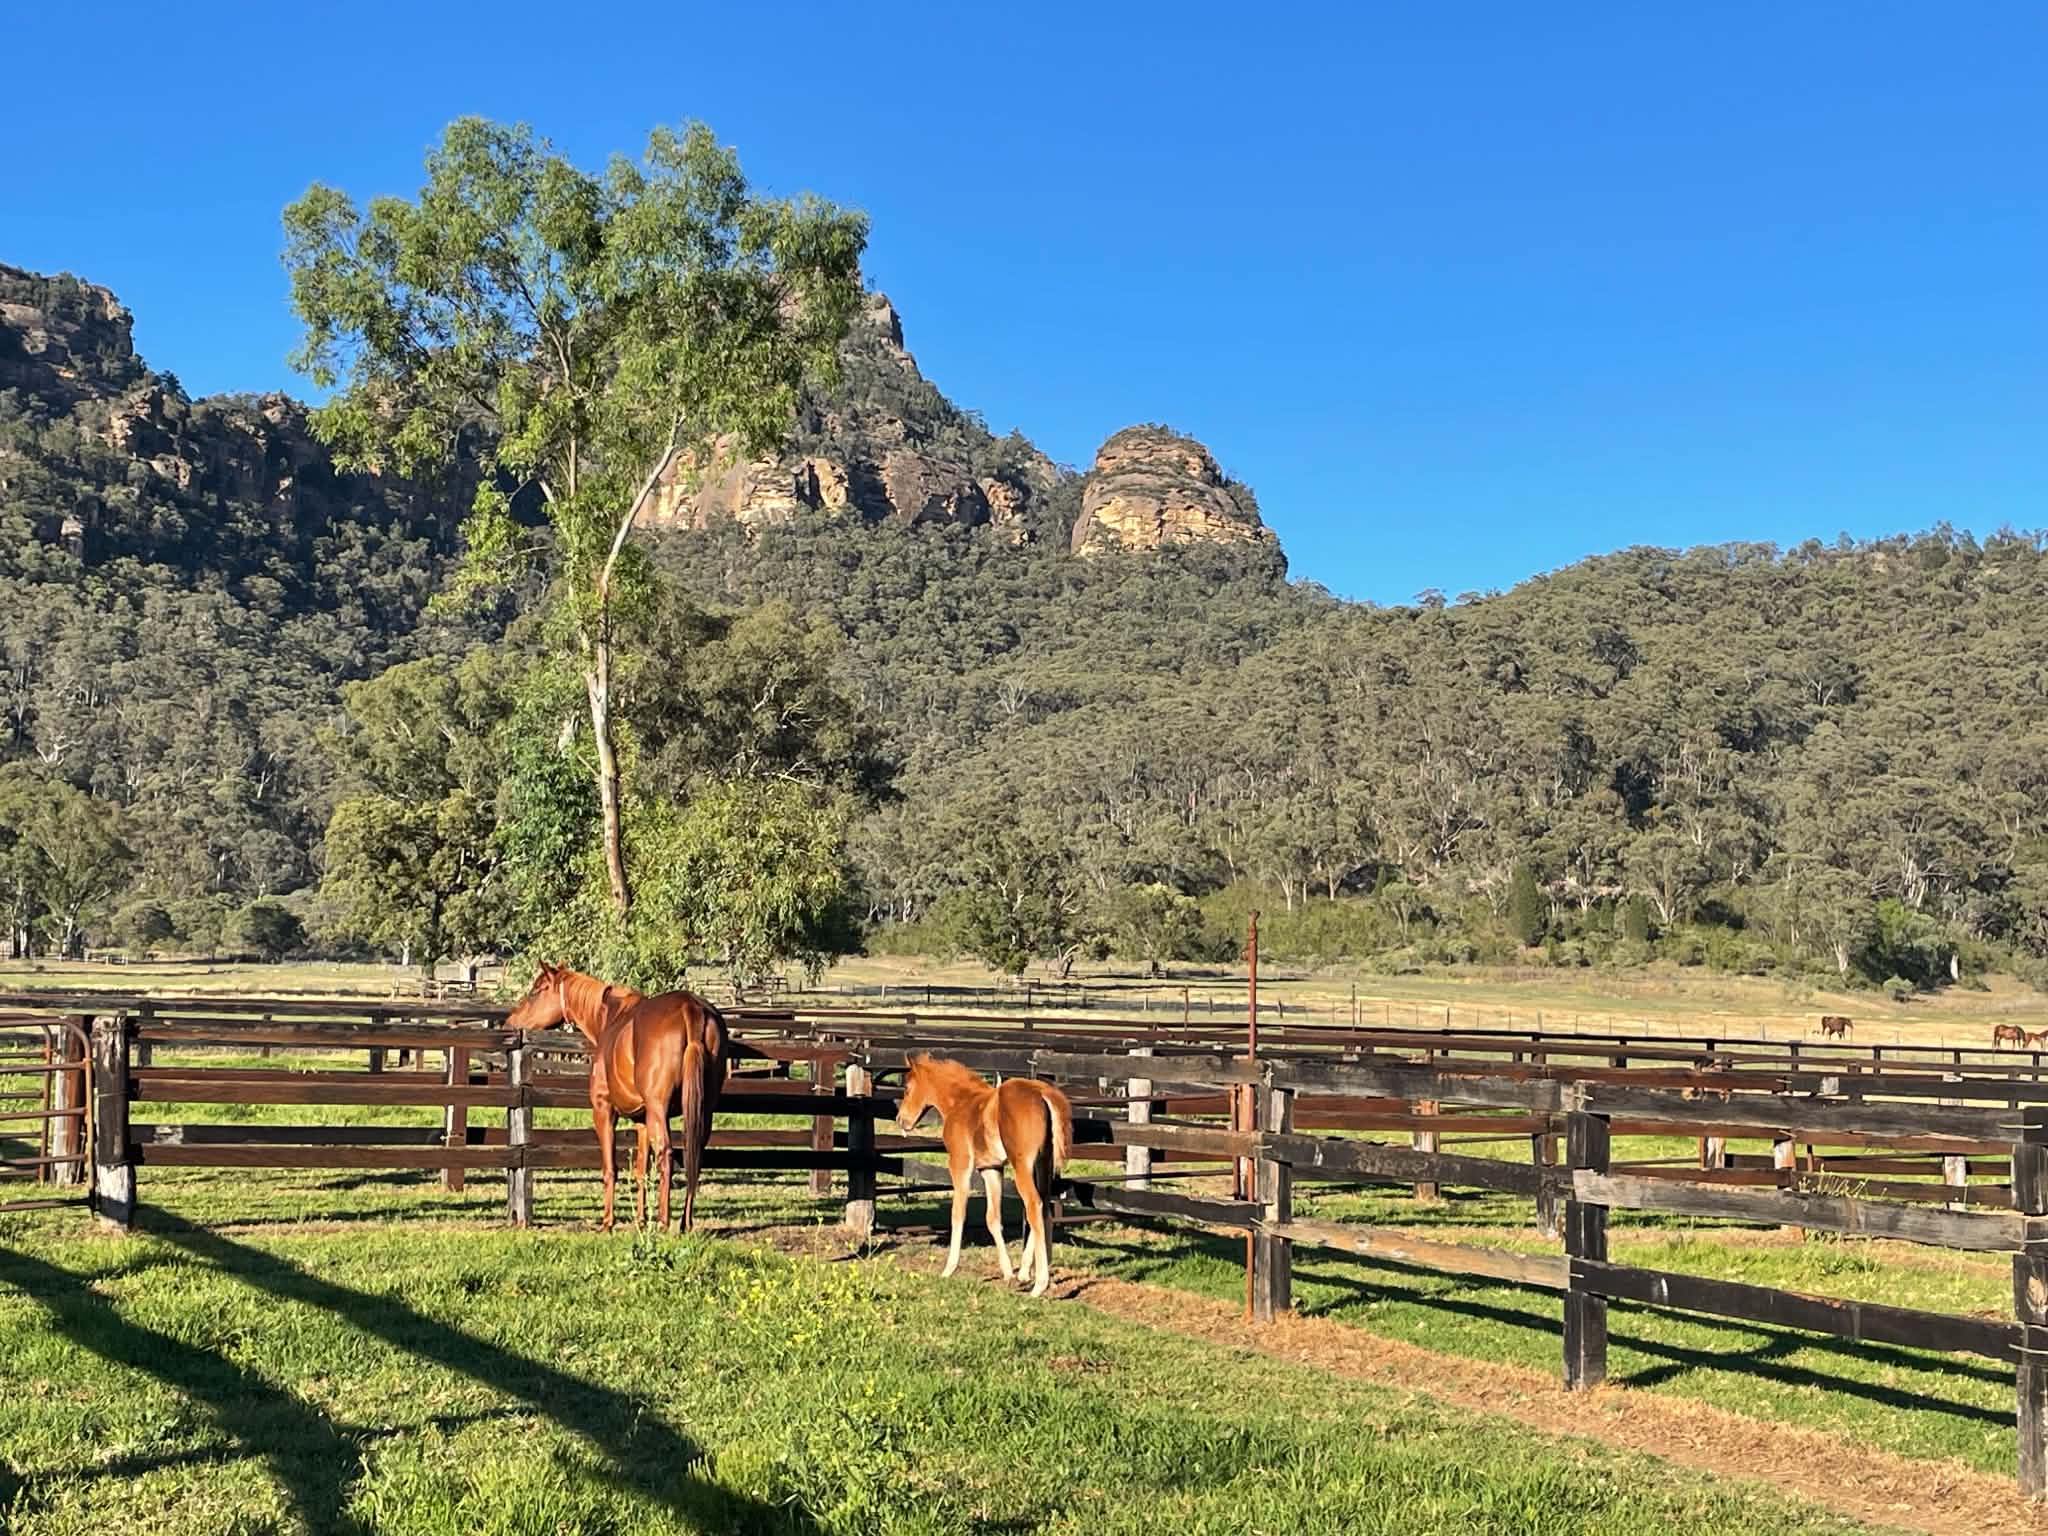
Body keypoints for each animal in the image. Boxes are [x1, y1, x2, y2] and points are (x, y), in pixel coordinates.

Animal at [507, 963, 731, 1233]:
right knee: (693, 1155)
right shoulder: (642, 1121)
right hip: (701, 1111)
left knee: (666, 1156)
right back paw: (684, 1224)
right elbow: (641, 1170)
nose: (510, 1022)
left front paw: (607, 1222)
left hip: (659, 1111)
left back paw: (664, 1223)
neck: (611, 1018)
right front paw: (641, 1221)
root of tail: (691, 1008)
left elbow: (610, 1168)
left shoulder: (604, 1111)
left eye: (537, 991)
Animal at [894, 1053, 1072, 1297]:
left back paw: (1039, 1285)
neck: (961, 1103)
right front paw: (1007, 1273)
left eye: (907, 1088)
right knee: (1044, 1205)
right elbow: (992, 1218)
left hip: (1022, 1165)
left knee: (1033, 1204)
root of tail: (1042, 1094)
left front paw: (948, 1269)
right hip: (1043, 1162)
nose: (901, 1120)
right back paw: (1025, 1272)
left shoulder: (960, 1164)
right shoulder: (991, 1169)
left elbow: (958, 1213)